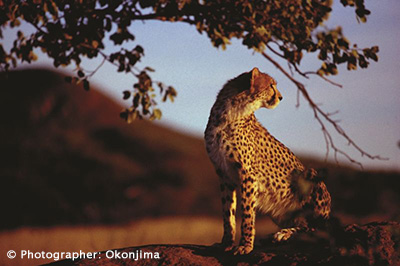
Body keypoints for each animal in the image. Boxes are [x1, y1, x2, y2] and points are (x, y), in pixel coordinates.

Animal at [205, 67, 330, 255]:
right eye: (271, 85)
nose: (281, 97)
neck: (232, 110)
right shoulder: (223, 173)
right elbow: (228, 212)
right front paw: (226, 243)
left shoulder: (247, 175)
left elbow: (247, 213)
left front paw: (245, 245)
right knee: (304, 225)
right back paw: (272, 236)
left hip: (310, 176)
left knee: (313, 230)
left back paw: (282, 234)